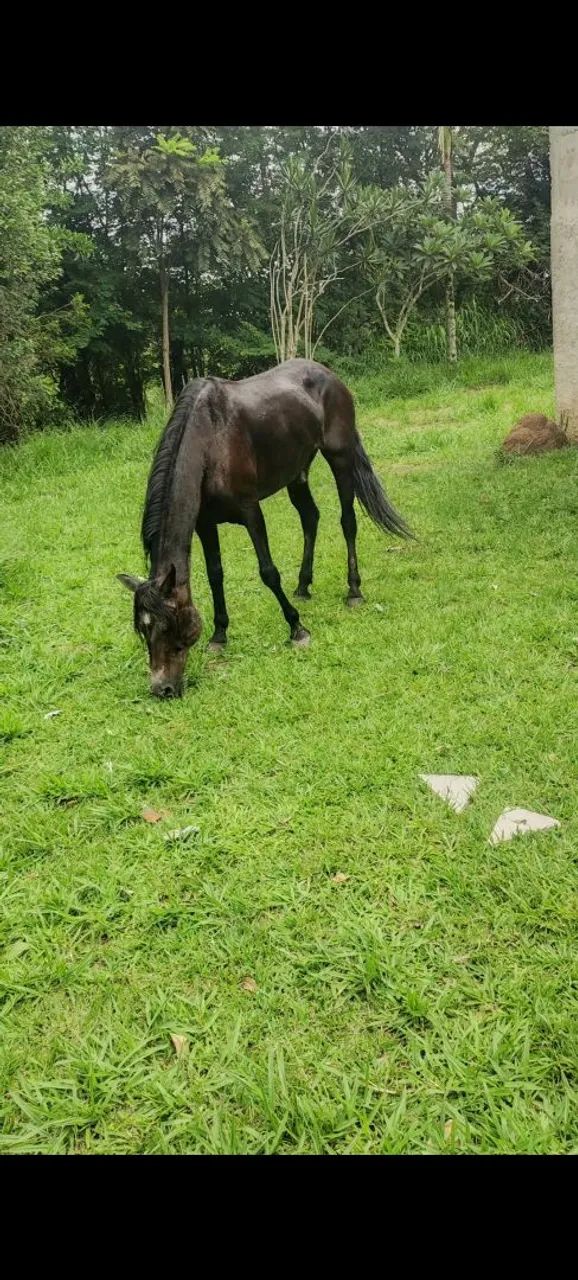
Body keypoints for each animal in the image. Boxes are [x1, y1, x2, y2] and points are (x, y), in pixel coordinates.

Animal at [117, 358, 412, 697]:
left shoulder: (251, 512)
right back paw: (302, 586)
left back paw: (353, 591)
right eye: (142, 629)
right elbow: (215, 575)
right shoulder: (205, 524)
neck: (210, 441)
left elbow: (268, 572)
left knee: (347, 522)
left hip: (340, 457)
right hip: (297, 471)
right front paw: (219, 635)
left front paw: (297, 629)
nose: (162, 689)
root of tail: (328, 374)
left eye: (167, 625)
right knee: (310, 517)